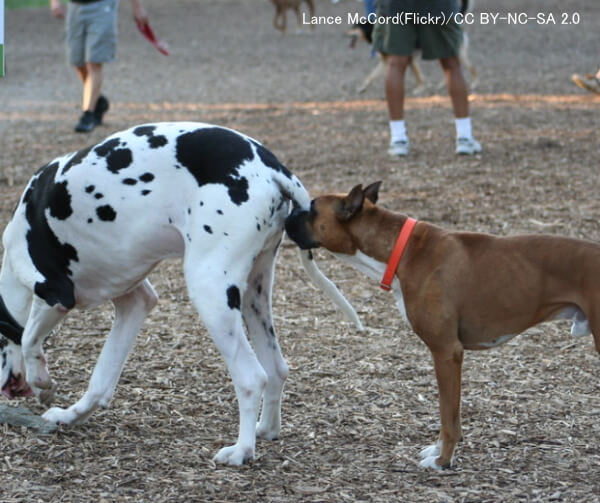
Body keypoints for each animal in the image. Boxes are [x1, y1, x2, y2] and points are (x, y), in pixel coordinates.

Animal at [0, 122, 360, 464]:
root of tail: (272, 167)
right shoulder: (135, 303)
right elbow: (100, 380)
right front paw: (69, 415)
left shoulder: (54, 294)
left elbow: (29, 338)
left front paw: (43, 384)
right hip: (254, 296)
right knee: (275, 369)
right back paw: (266, 430)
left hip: (210, 292)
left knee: (252, 377)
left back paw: (241, 450)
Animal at [284, 183, 600, 470]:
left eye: (311, 209)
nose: (286, 216)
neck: (403, 250)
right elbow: (450, 413)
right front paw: (437, 451)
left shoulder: (446, 353)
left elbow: (448, 414)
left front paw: (443, 461)